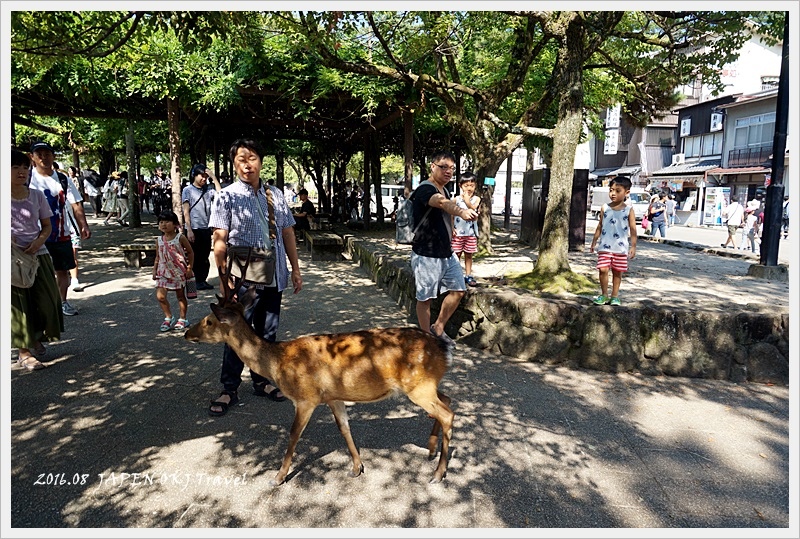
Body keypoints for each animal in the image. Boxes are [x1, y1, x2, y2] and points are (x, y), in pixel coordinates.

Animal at [183, 264, 456, 488]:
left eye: (209, 321)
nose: (187, 332)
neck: (278, 363)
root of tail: (444, 349)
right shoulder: (333, 396)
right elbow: (344, 428)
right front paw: (357, 467)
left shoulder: (306, 397)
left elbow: (293, 435)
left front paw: (278, 477)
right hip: (426, 384)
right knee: (447, 400)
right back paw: (431, 449)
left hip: (418, 386)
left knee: (447, 413)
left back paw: (438, 473)